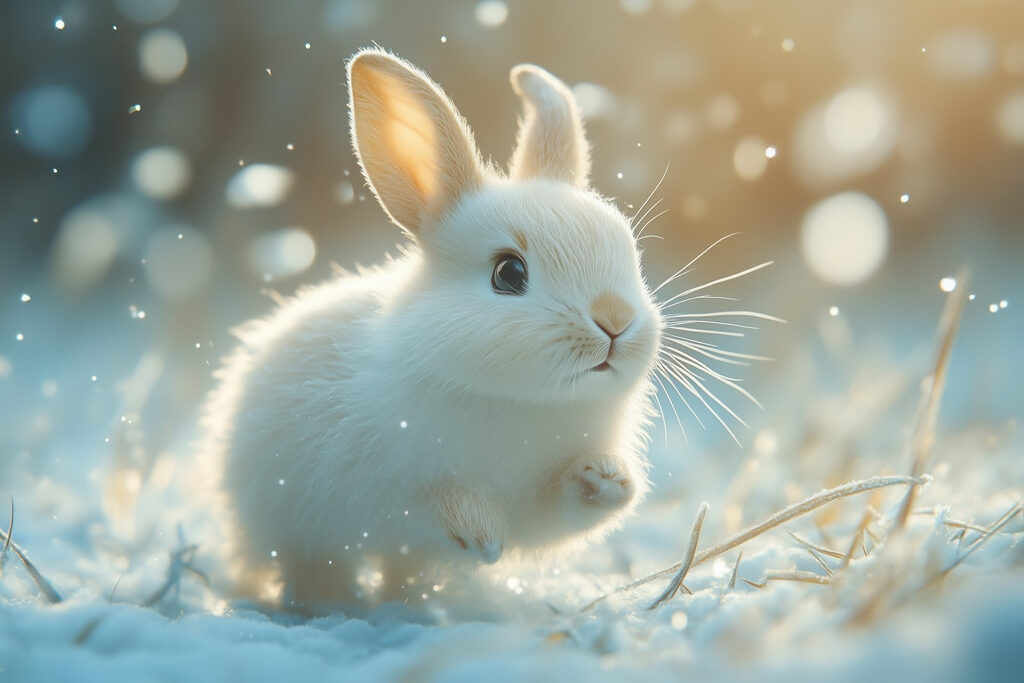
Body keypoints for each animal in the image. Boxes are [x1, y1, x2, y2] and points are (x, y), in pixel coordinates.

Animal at [200, 48, 665, 609]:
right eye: (509, 274)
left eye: (628, 252)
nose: (615, 321)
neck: (518, 401)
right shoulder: (388, 480)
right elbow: (432, 501)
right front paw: (482, 534)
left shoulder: (539, 506)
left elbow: (562, 506)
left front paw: (609, 479)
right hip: (298, 533)